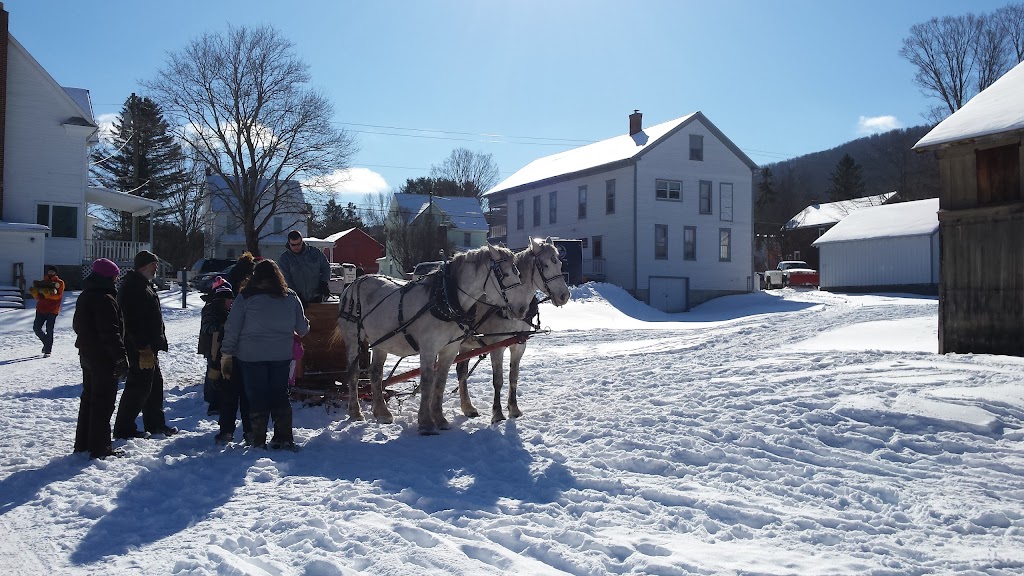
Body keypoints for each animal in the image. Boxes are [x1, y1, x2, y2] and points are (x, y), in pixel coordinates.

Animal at [339, 239, 540, 432]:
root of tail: (354, 283)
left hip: (381, 341)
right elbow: (427, 381)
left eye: (518, 273)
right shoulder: (428, 348)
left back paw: (382, 412)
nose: (522, 309)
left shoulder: (450, 349)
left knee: (375, 373)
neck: (445, 300)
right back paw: (355, 412)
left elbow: (440, 381)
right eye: (504, 275)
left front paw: (440, 419)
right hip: (353, 337)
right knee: (353, 372)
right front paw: (426, 423)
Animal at [458, 237, 573, 422]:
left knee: (461, 372)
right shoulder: (496, 347)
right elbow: (498, 380)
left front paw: (513, 409)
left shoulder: (519, 345)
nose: (564, 296)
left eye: (560, 263)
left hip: (465, 345)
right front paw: (497, 413)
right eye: (545, 265)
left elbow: (514, 376)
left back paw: (467, 407)